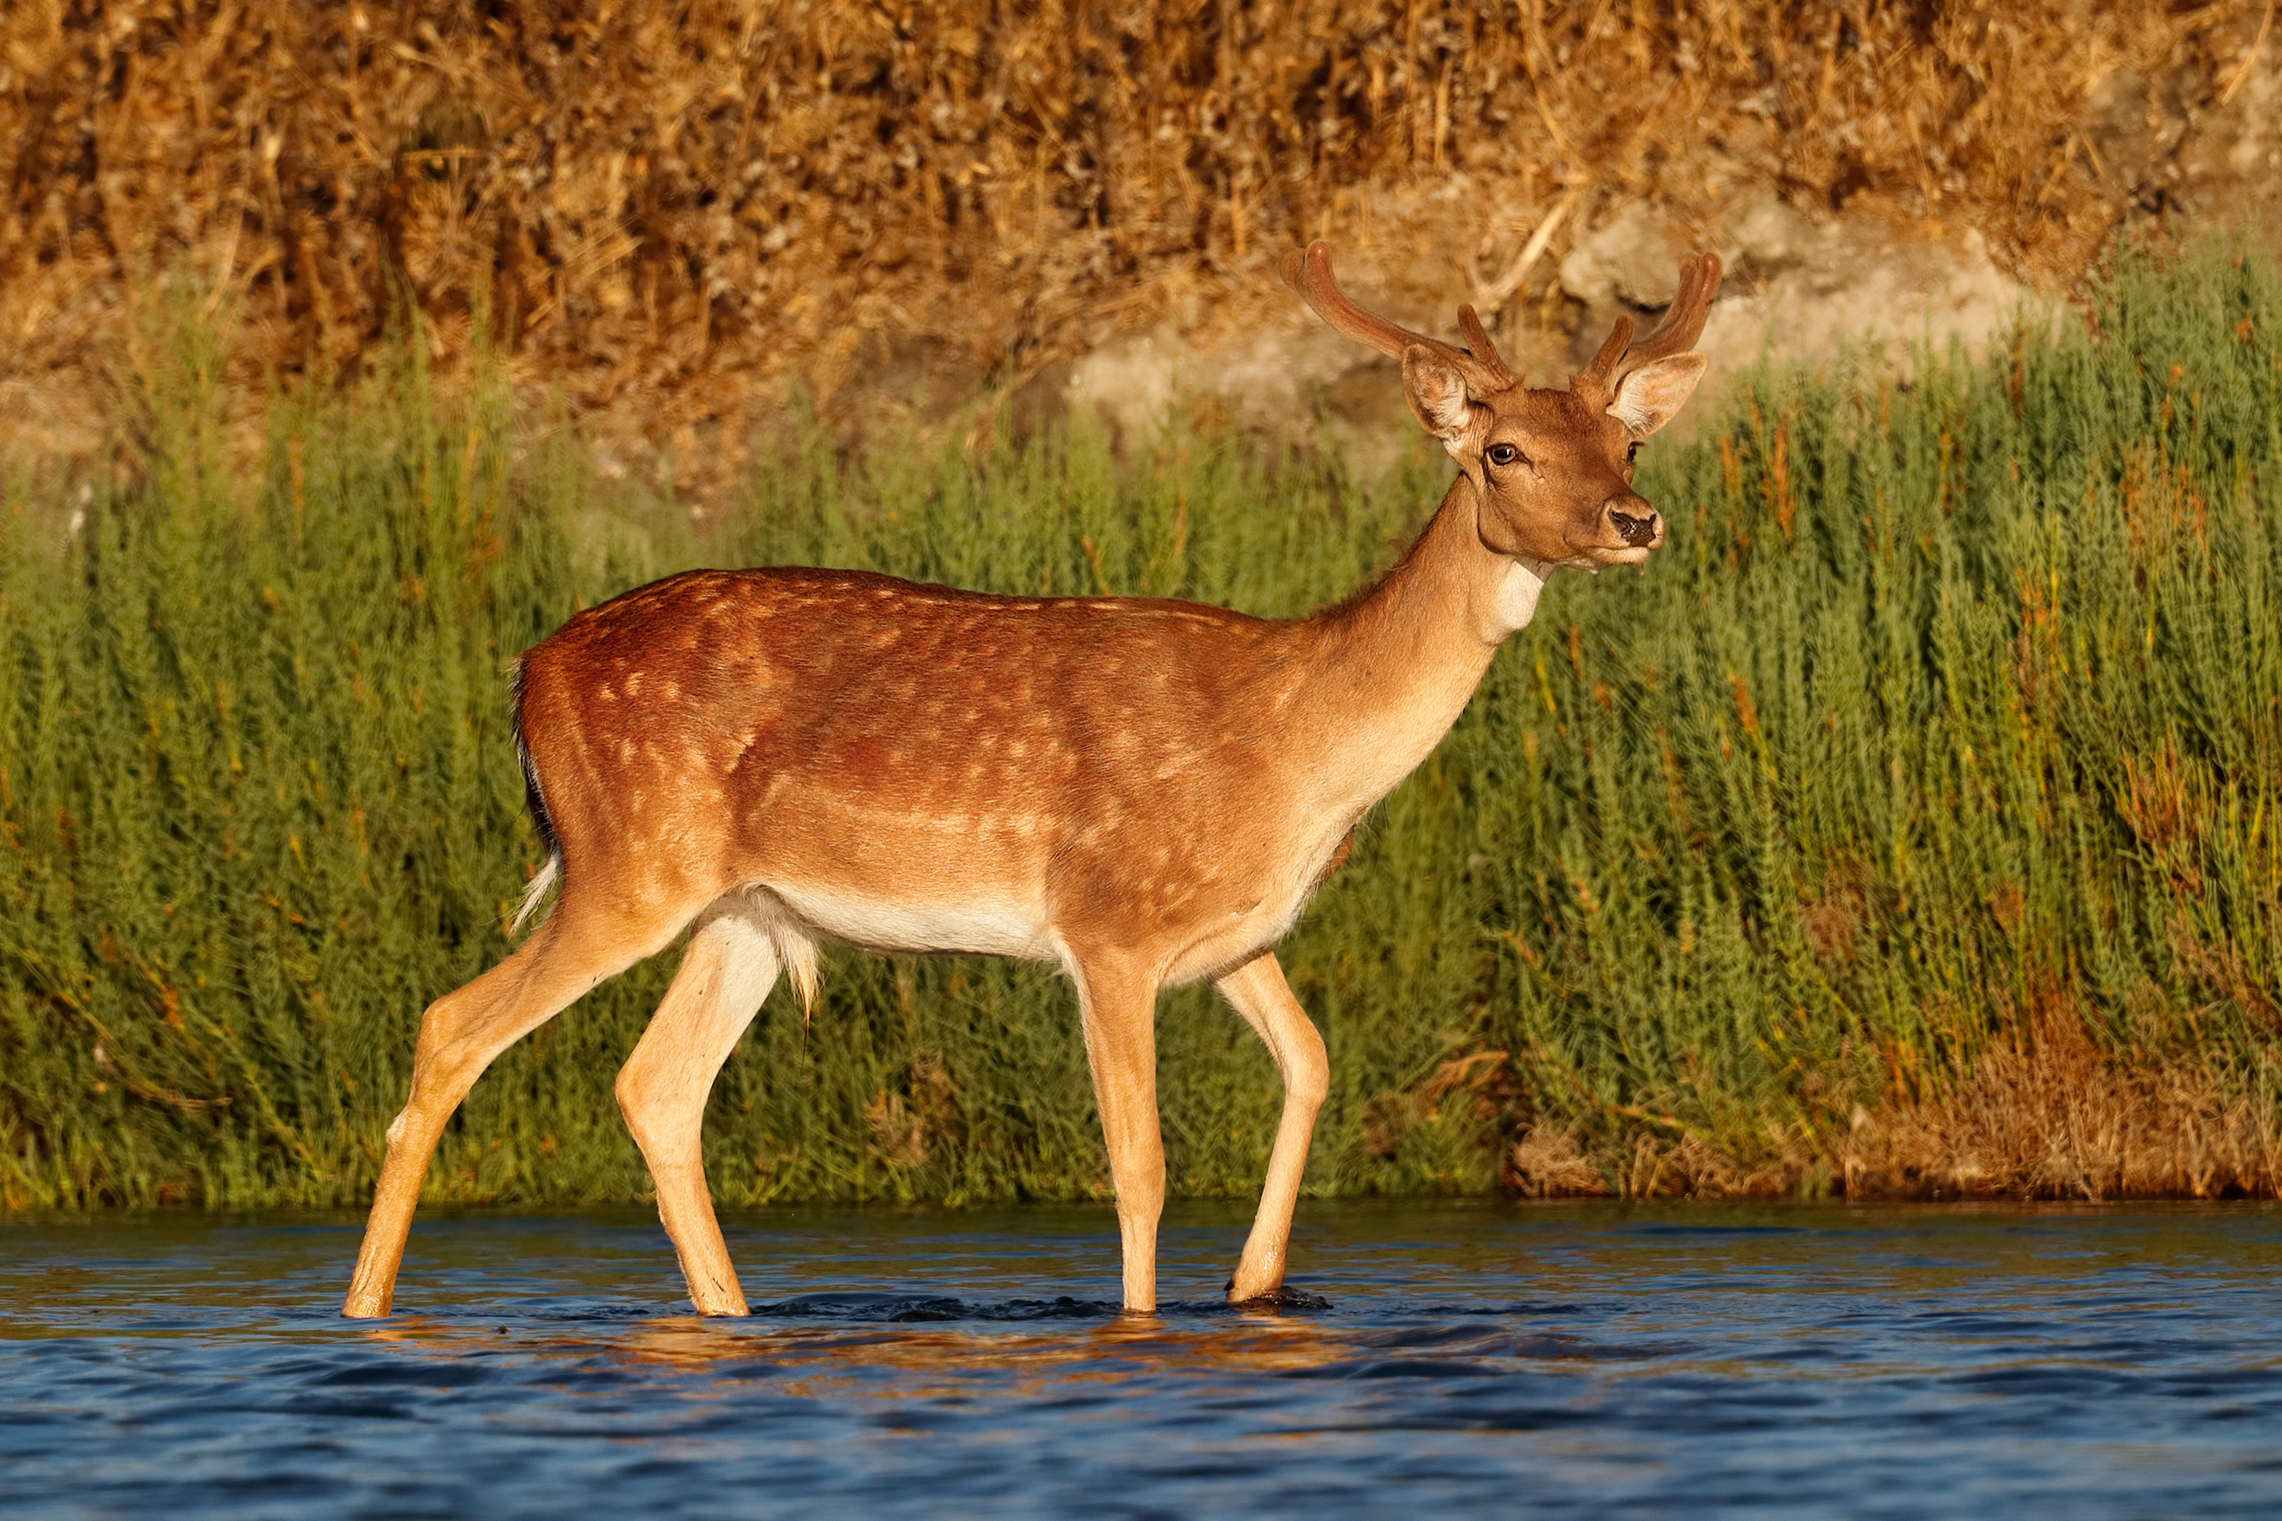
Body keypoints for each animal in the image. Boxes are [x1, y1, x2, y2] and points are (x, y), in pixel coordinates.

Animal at [342, 241, 1720, 1319]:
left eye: (1624, 437)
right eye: (1503, 451)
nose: (1633, 519)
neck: (1295, 749)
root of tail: (524, 674)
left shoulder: (1233, 934)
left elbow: (1314, 1064)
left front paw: (1256, 1286)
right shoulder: (1108, 919)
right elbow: (1140, 1160)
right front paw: (1148, 1319)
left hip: (746, 910)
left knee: (656, 1089)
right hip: (630, 858)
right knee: (451, 1026)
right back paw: (365, 1316)